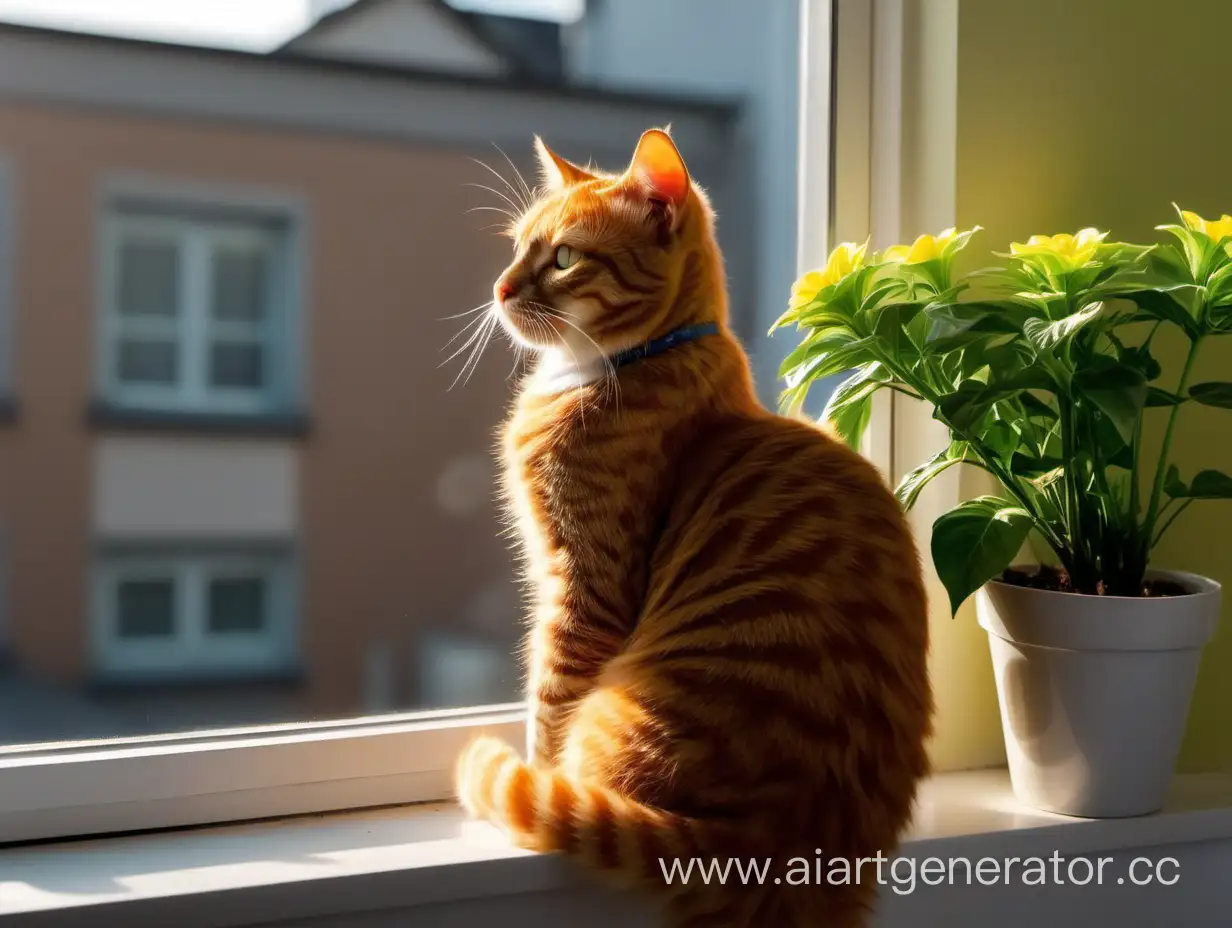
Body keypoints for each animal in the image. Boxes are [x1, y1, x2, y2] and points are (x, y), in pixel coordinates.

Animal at [455, 126, 931, 921]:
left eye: (563, 257)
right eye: (517, 248)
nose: (497, 289)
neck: (629, 364)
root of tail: (775, 837)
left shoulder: (580, 584)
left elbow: (548, 701)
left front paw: (539, 775)